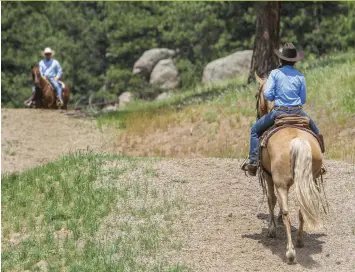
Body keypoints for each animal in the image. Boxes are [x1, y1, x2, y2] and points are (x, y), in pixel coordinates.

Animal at [254, 73, 326, 264]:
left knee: (287, 211)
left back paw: (290, 252)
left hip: (280, 182)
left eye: (257, 95)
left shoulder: (269, 175)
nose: (258, 114)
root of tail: (298, 140)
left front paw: (272, 229)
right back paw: (299, 241)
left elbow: (271, 200)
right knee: (302, 209)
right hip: (309, 180)